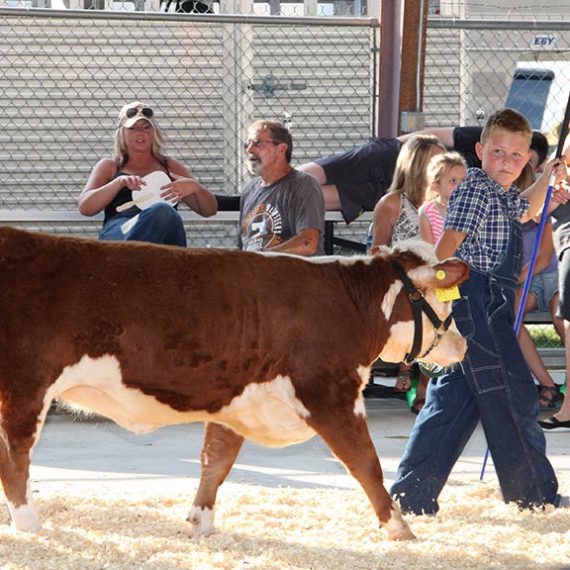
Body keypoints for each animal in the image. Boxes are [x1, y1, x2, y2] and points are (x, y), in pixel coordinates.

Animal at [0, 225, 466, 536]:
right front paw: (399, 528)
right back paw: (29, 525)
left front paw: (200, 522)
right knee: (15, 458)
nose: (462, 345)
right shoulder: (330, 393)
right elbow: (365, 462)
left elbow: (216, 461)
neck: (347, 301)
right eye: (443, 302)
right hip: (26, 389)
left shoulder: (238, 403)